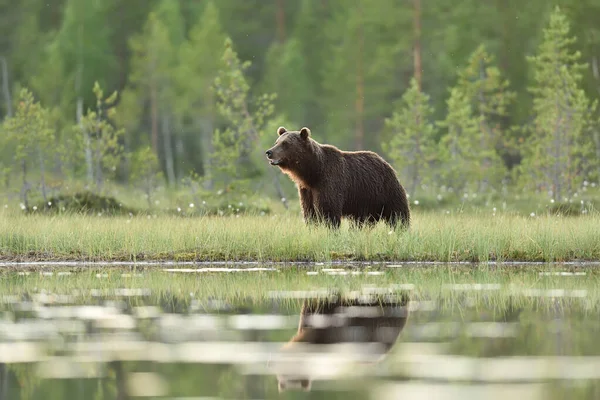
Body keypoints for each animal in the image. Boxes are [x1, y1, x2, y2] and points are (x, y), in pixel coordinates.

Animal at [264, 126, 410, 230]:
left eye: (285, 143)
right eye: (276, 142)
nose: (269, 152)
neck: (313, 172)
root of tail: (386, 163)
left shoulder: (329, 182)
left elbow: (329, 210)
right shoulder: (306, 190)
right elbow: (309, 212)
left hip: (385, 191)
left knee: (398, 214)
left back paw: (401, 230)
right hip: (366, 201)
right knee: (362, 222)